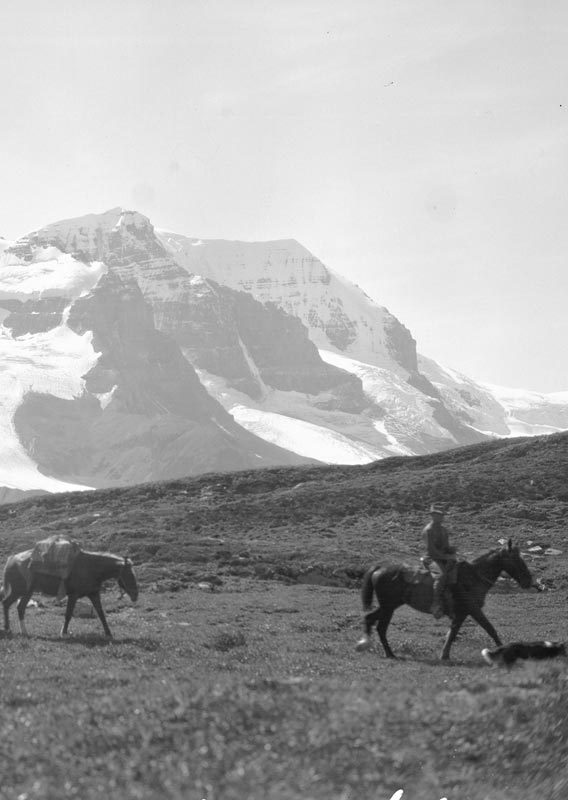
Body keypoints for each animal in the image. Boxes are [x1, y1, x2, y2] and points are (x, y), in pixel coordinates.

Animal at [2, 544, 139, 636]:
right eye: (129, 575)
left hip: (27, 592)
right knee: (7, 604)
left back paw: (21, 631)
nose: (135, 595)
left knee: (18, 607)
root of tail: (12, 559)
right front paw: (64, 632)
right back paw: (9, 628)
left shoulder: (94, 595)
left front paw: (108, 633)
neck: (90, 567)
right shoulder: (73, 595)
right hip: (19, 591)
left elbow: (101, 614)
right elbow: (68, 614)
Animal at [358, 540, 536, 660]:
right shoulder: (472, 609)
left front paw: (445, 655)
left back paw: (366, 645)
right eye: (516, 559)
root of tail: (380, 568)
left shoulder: (461, 613)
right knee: (381, 628)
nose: (528, 581)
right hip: (388, 607)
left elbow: (452, 633)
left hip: (389, 606)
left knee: (370, 618)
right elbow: (489, 628)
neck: (473, 577)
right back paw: (390, 653)